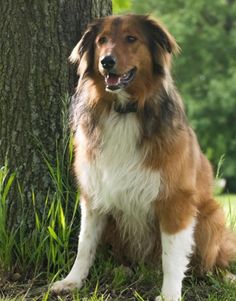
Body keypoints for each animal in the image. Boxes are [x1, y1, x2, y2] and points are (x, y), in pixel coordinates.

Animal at [52, 14, 236, 300]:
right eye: (102, 40)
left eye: (131, 38)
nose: (106, 62)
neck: (124, 111)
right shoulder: (93, 194)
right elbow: (85, 244)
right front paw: (72, 281)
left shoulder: (176, 200)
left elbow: (172, 257)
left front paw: (169, 294)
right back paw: (124, 270)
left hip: (210, 215)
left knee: (212, 260)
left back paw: (224, 275)